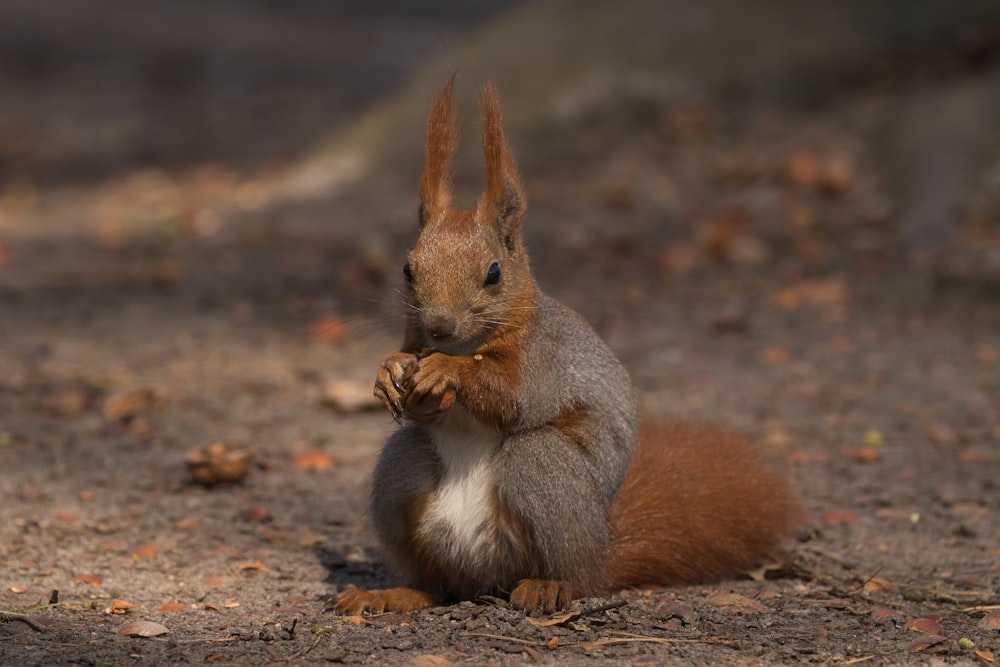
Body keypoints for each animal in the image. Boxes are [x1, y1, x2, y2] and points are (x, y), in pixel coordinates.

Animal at [332, 77, 800, 616]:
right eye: (408, 268)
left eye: (494, 273)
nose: (440, 326)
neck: (470, 343)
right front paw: (390, 370)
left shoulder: (544, 361)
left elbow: (512, 397)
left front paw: (447, 372)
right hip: (402, 472)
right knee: (434, 581)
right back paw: (390, 593)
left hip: (544, 472)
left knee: (568, 567)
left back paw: (549, 587)